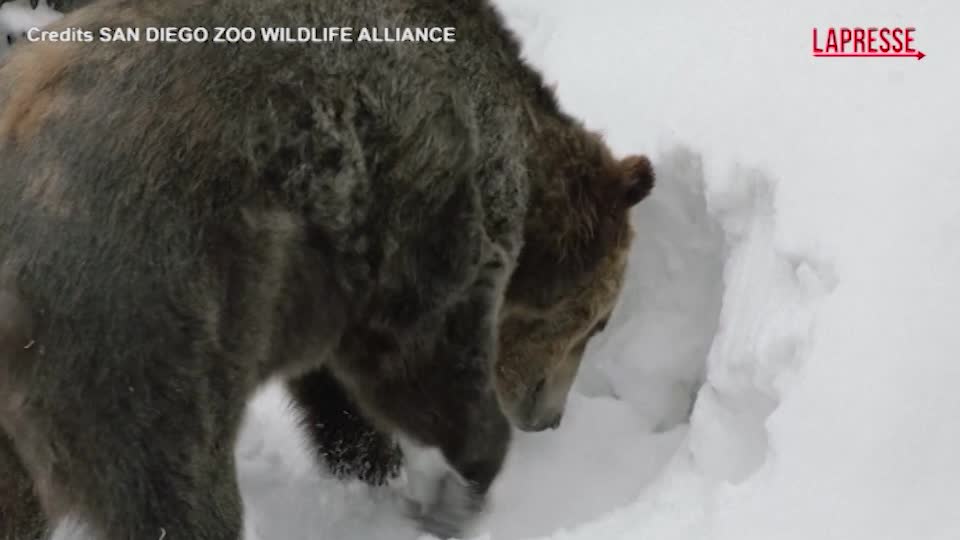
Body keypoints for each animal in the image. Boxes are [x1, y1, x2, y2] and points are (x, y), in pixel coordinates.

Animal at [0, 0, 654, 538]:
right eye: (597, 322)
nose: (549, 418)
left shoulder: (322, 265)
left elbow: (333, 383)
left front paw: (374, 464)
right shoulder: (427, 202)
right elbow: (423, 352)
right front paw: (459, 482)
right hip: (140, 322)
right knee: (174, 486)